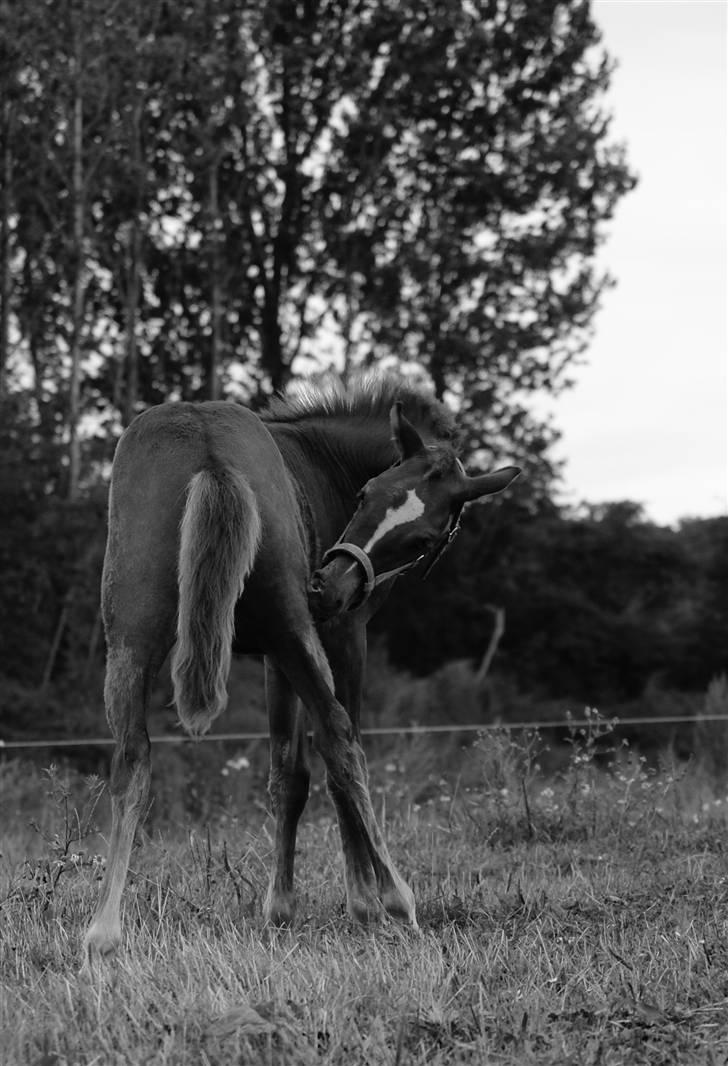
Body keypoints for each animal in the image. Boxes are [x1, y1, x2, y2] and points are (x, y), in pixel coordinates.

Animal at [82, 375, 520, 959]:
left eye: (423, 538)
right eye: (364, 494)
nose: (325, 586)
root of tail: (206, 445)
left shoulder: (276, 652)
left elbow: (287, 774)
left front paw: (281, 910)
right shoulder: (340, 635)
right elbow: (330, 759)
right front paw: (362, 901)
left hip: (131, 640)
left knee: (132, 758)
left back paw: (103, 933)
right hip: (291, 628)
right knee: (340, 738)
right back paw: (399, 901)